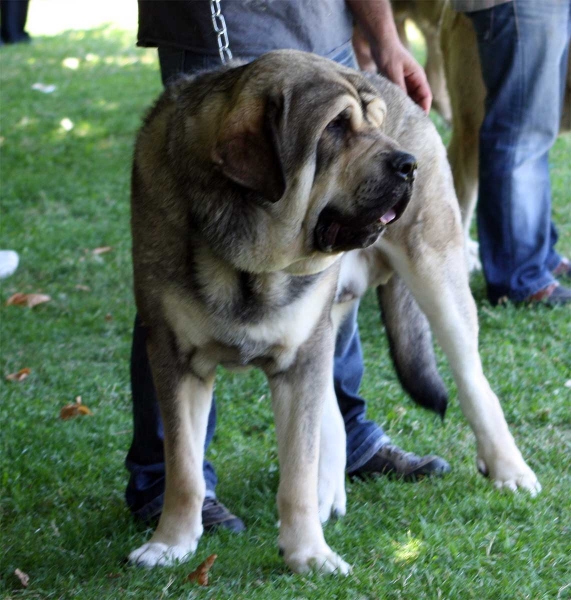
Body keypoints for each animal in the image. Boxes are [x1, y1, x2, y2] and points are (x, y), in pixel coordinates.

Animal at [128, 49, 540, 576]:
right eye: (336, 127)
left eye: (373, 125)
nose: (408, 165)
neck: (247, 251)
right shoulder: (174, 357)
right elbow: (183, 466)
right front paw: (171, 542)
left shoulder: (302, 354)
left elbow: (296, 470)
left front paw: (308, 553)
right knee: (332, 418)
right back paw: (329, 494)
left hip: (436, 276)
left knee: (473, 382)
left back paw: (509, 469)